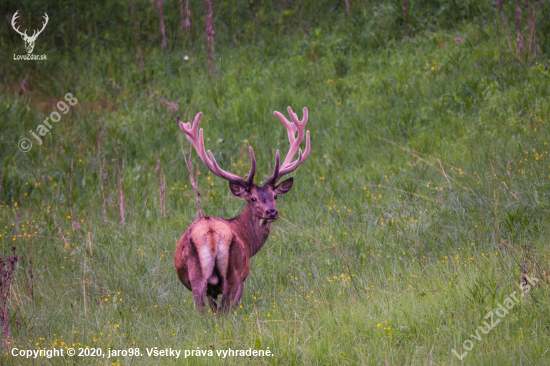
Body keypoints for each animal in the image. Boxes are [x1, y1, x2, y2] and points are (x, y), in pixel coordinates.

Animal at [174, 106, 310, 312]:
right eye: (253, 198)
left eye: (275, 196)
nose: (272, 212)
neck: (247, 239)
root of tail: (211, 234)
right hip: (235, 275)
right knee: (225, 309)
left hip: (199, 277)